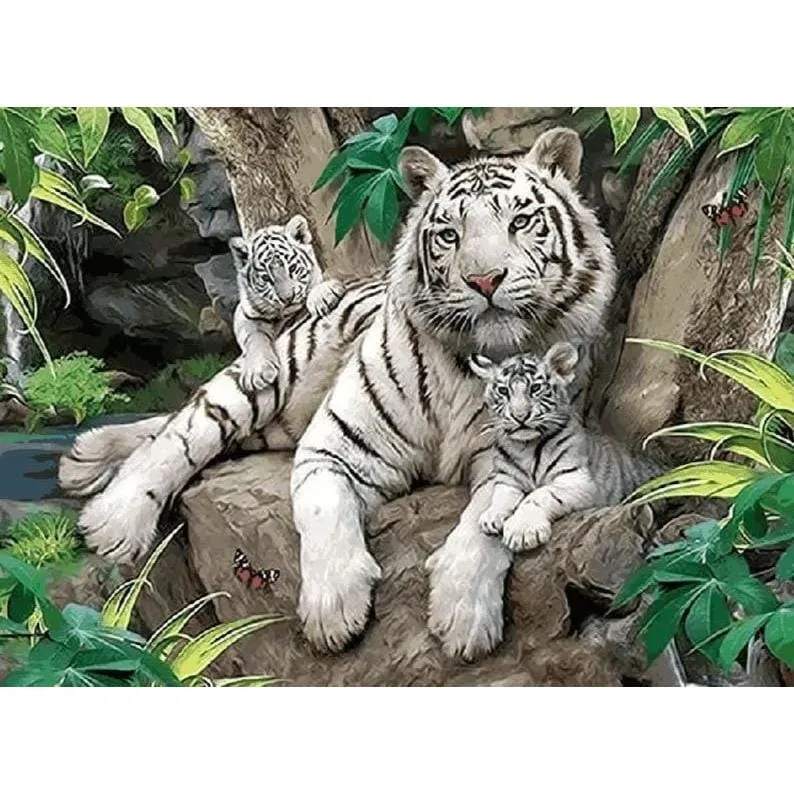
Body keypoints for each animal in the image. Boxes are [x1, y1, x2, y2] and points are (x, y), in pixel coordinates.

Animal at [230, 214, 346, 391]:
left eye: (292, 269)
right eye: (266, 278)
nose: (287, 298)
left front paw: (322, 297)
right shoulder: (245, 313)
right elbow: (254, 336)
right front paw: (258, 372)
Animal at [470, 342, 662, 552]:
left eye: (535, 388)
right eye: (503, 391)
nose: (520, 416)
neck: (525, 447)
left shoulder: (577, 480)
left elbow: (538, 495)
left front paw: (522, 531)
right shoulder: (508, 479)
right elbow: (501, 496)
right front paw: (491, 516)